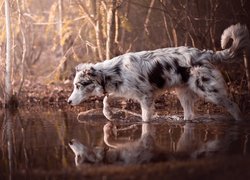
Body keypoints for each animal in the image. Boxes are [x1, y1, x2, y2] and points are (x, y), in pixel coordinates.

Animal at [67, 23, 249, 121]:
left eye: (78, 85)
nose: (68, 102)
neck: (112, 73)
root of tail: (203, 53)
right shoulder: (125, 92)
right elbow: (106, 99)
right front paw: (108, 113)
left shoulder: (146, 97)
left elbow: (146, 119)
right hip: (184, 94)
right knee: (189, 115)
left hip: (209, 91)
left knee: (234, 106)